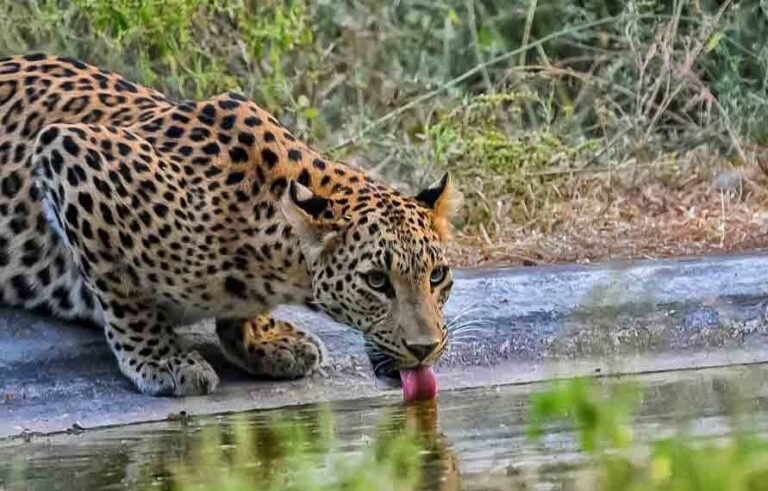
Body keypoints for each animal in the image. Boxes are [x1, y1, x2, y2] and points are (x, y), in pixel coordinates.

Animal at [0, 53, 461, 397]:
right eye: (376, 281)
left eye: (437, 275)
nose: (425, 348)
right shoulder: (69, 150)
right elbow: (121, 288)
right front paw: (162, 359)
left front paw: (262, 337)